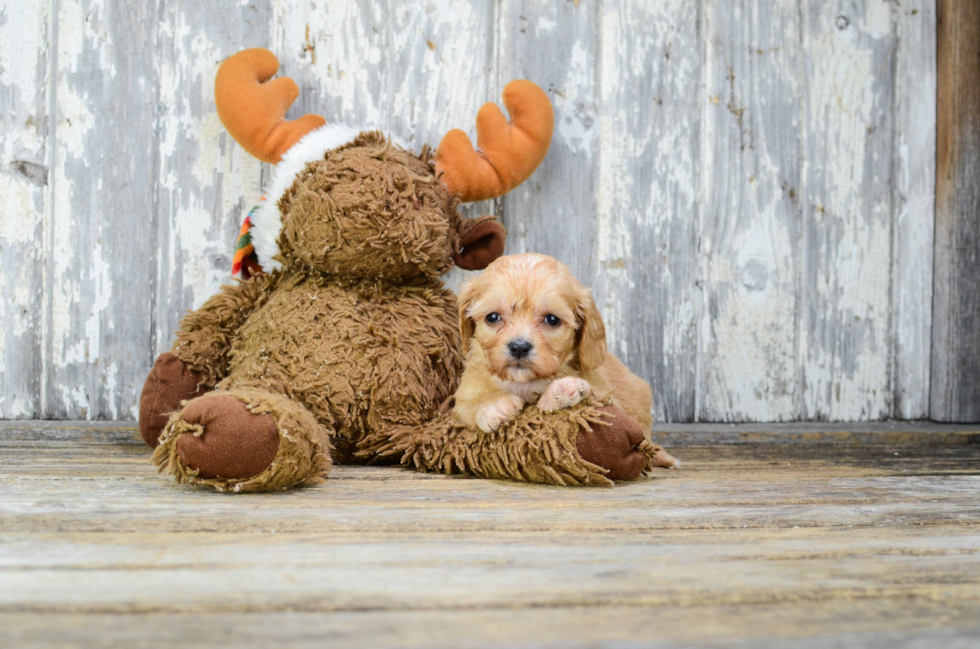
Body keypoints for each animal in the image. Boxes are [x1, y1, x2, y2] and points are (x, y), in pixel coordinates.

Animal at [454, 252, 656, 430]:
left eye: (552, 319)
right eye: (493, 317)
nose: (519, 347)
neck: (525, 383)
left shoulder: (608, 398)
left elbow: (597, 396)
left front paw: (565, 389)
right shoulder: (461, 401)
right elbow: (468, 405)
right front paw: (493, 405)